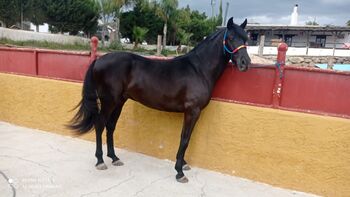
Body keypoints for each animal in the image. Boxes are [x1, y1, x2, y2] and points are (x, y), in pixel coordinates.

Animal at [69, 17, 250, 182]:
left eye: (246, 39)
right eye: (231, 37)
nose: (245, 62)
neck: (199, 69)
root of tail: (98, 60)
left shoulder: (192, 113)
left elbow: (187, 138)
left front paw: (183, 164)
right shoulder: (192, 111)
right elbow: (185, 139)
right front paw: (179, 171)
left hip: (119, 101)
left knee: (110, 126)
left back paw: (114, 158)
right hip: (109, 101)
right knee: (100, 125)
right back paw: (100, 161)